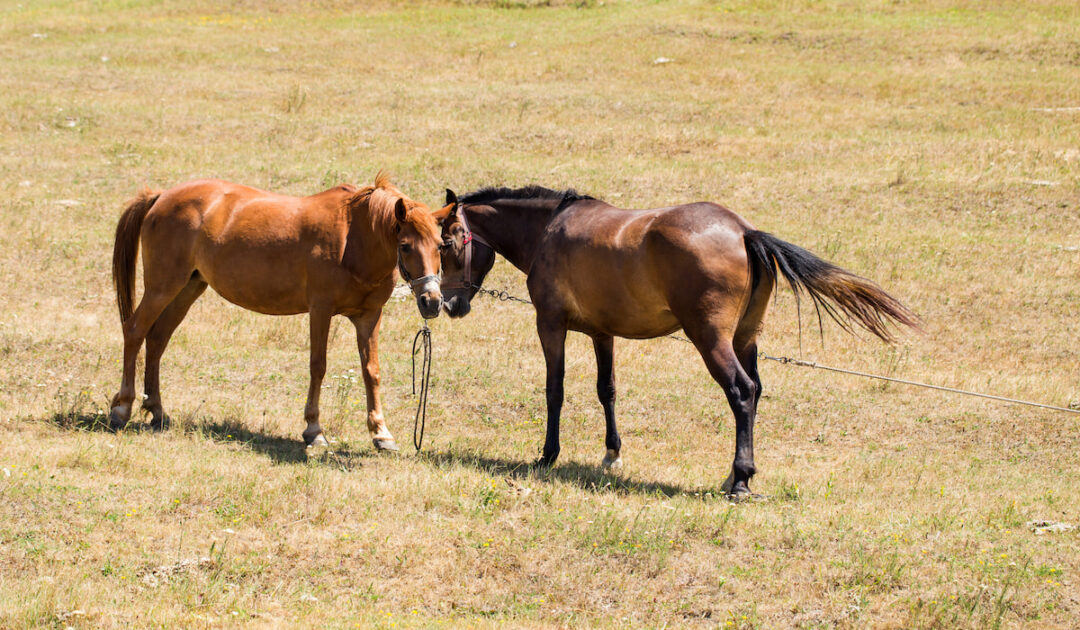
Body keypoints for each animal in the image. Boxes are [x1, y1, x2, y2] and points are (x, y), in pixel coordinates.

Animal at [109, 173, 447, 451]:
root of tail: (161, 196)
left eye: (441, 245)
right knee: (135, 331)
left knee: (157, 339)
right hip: (162, 287)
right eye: (405, 245)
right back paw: (122, 408)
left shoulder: (369, 316)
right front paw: (314, 430)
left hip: (189, 288)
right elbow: (318, 366)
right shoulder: (320, 310)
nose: (431, 301)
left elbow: (371, 371)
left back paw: (157, 411)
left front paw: (381, 433)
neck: (353, 239)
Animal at [434, 185, 918, 497]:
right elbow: (606, 390)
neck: (550, 228)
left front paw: (547, 455)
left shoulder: (550, 325)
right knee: (757, 391)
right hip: (745, 338)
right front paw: (612, 454)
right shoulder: (602, 332)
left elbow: (556, 390)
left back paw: (739, 480)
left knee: (741, 391)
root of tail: (743, 231)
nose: (448, 305)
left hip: (711, 339)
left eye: (448, 245)